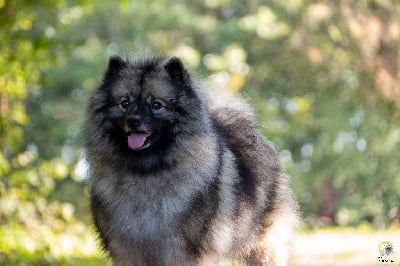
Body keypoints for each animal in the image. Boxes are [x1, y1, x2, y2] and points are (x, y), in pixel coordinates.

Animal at [83, 55, 296, 264]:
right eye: (124, 103)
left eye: (156, 105)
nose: (133, 120)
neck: (146, 172)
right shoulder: (126, 252)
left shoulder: (183, 252)